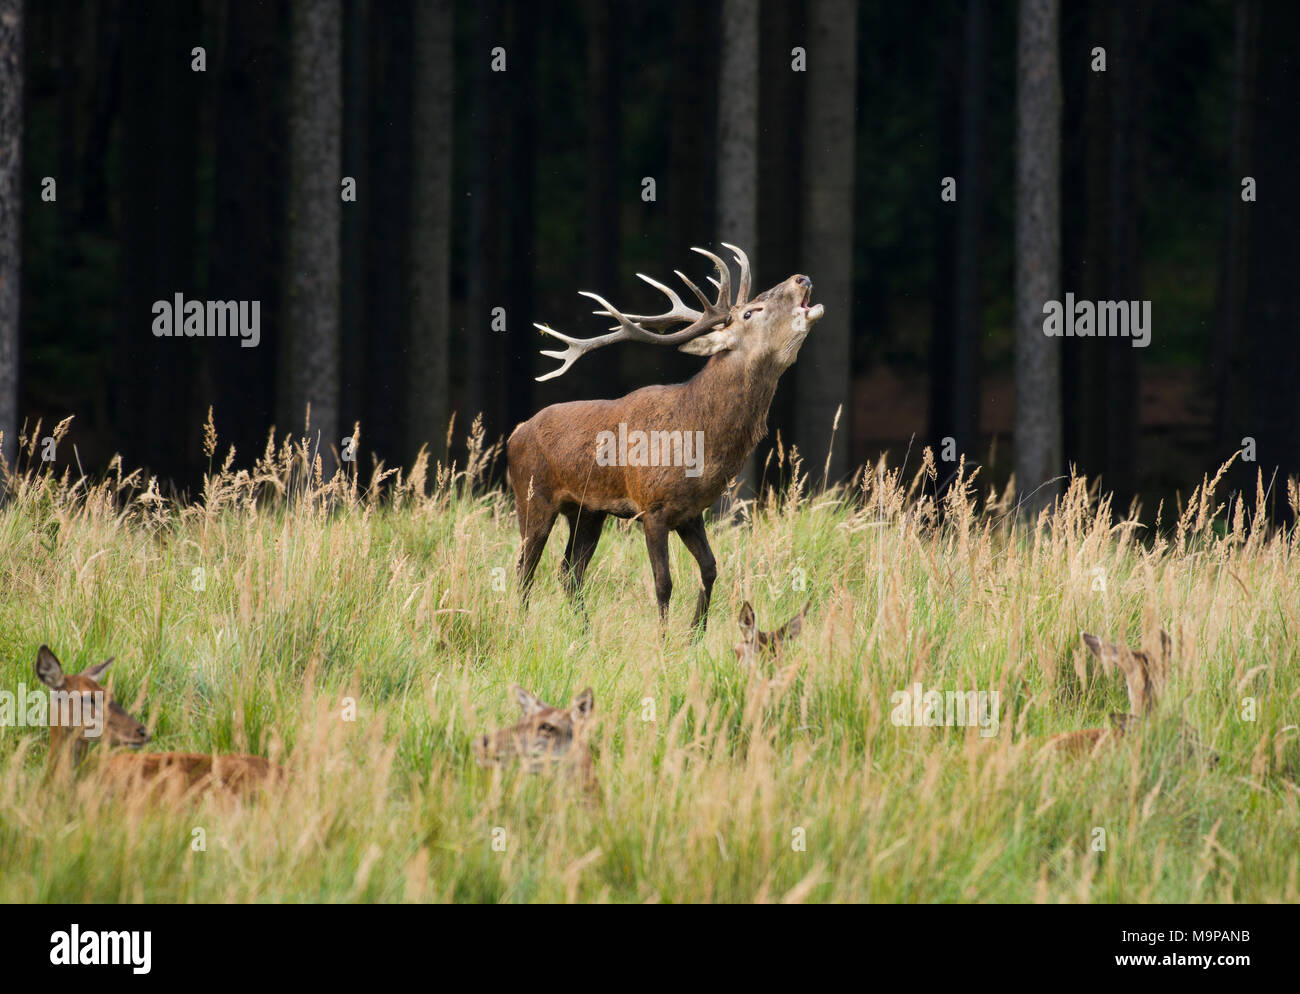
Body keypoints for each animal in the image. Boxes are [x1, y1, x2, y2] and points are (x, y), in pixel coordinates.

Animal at [506, 248, 821, 636]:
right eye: (751, 312)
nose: (801, 278)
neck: (699, 438)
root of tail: (515, 433)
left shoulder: (691, 512)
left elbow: (710, 569)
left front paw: (695, 634)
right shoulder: (651, 507)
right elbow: (663, 582)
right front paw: (665, 638)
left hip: (588, 512)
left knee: (569, 571)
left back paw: (585, 632)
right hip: (532, 496)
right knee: (525, 568)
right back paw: (522, 626)